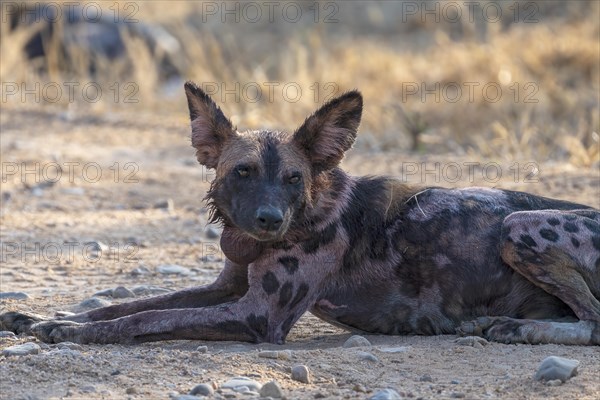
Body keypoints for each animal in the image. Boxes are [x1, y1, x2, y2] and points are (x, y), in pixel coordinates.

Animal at [1, 81, 600, 344]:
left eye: (293, 178)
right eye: (242, 172)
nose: (269, 220)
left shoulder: (256, 316)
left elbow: (144, 319)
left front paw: (69, 333)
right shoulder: (225, 289)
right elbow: (130, 305)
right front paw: (47, 318)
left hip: (516, 226)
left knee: (592, 323)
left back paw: (515, 328)